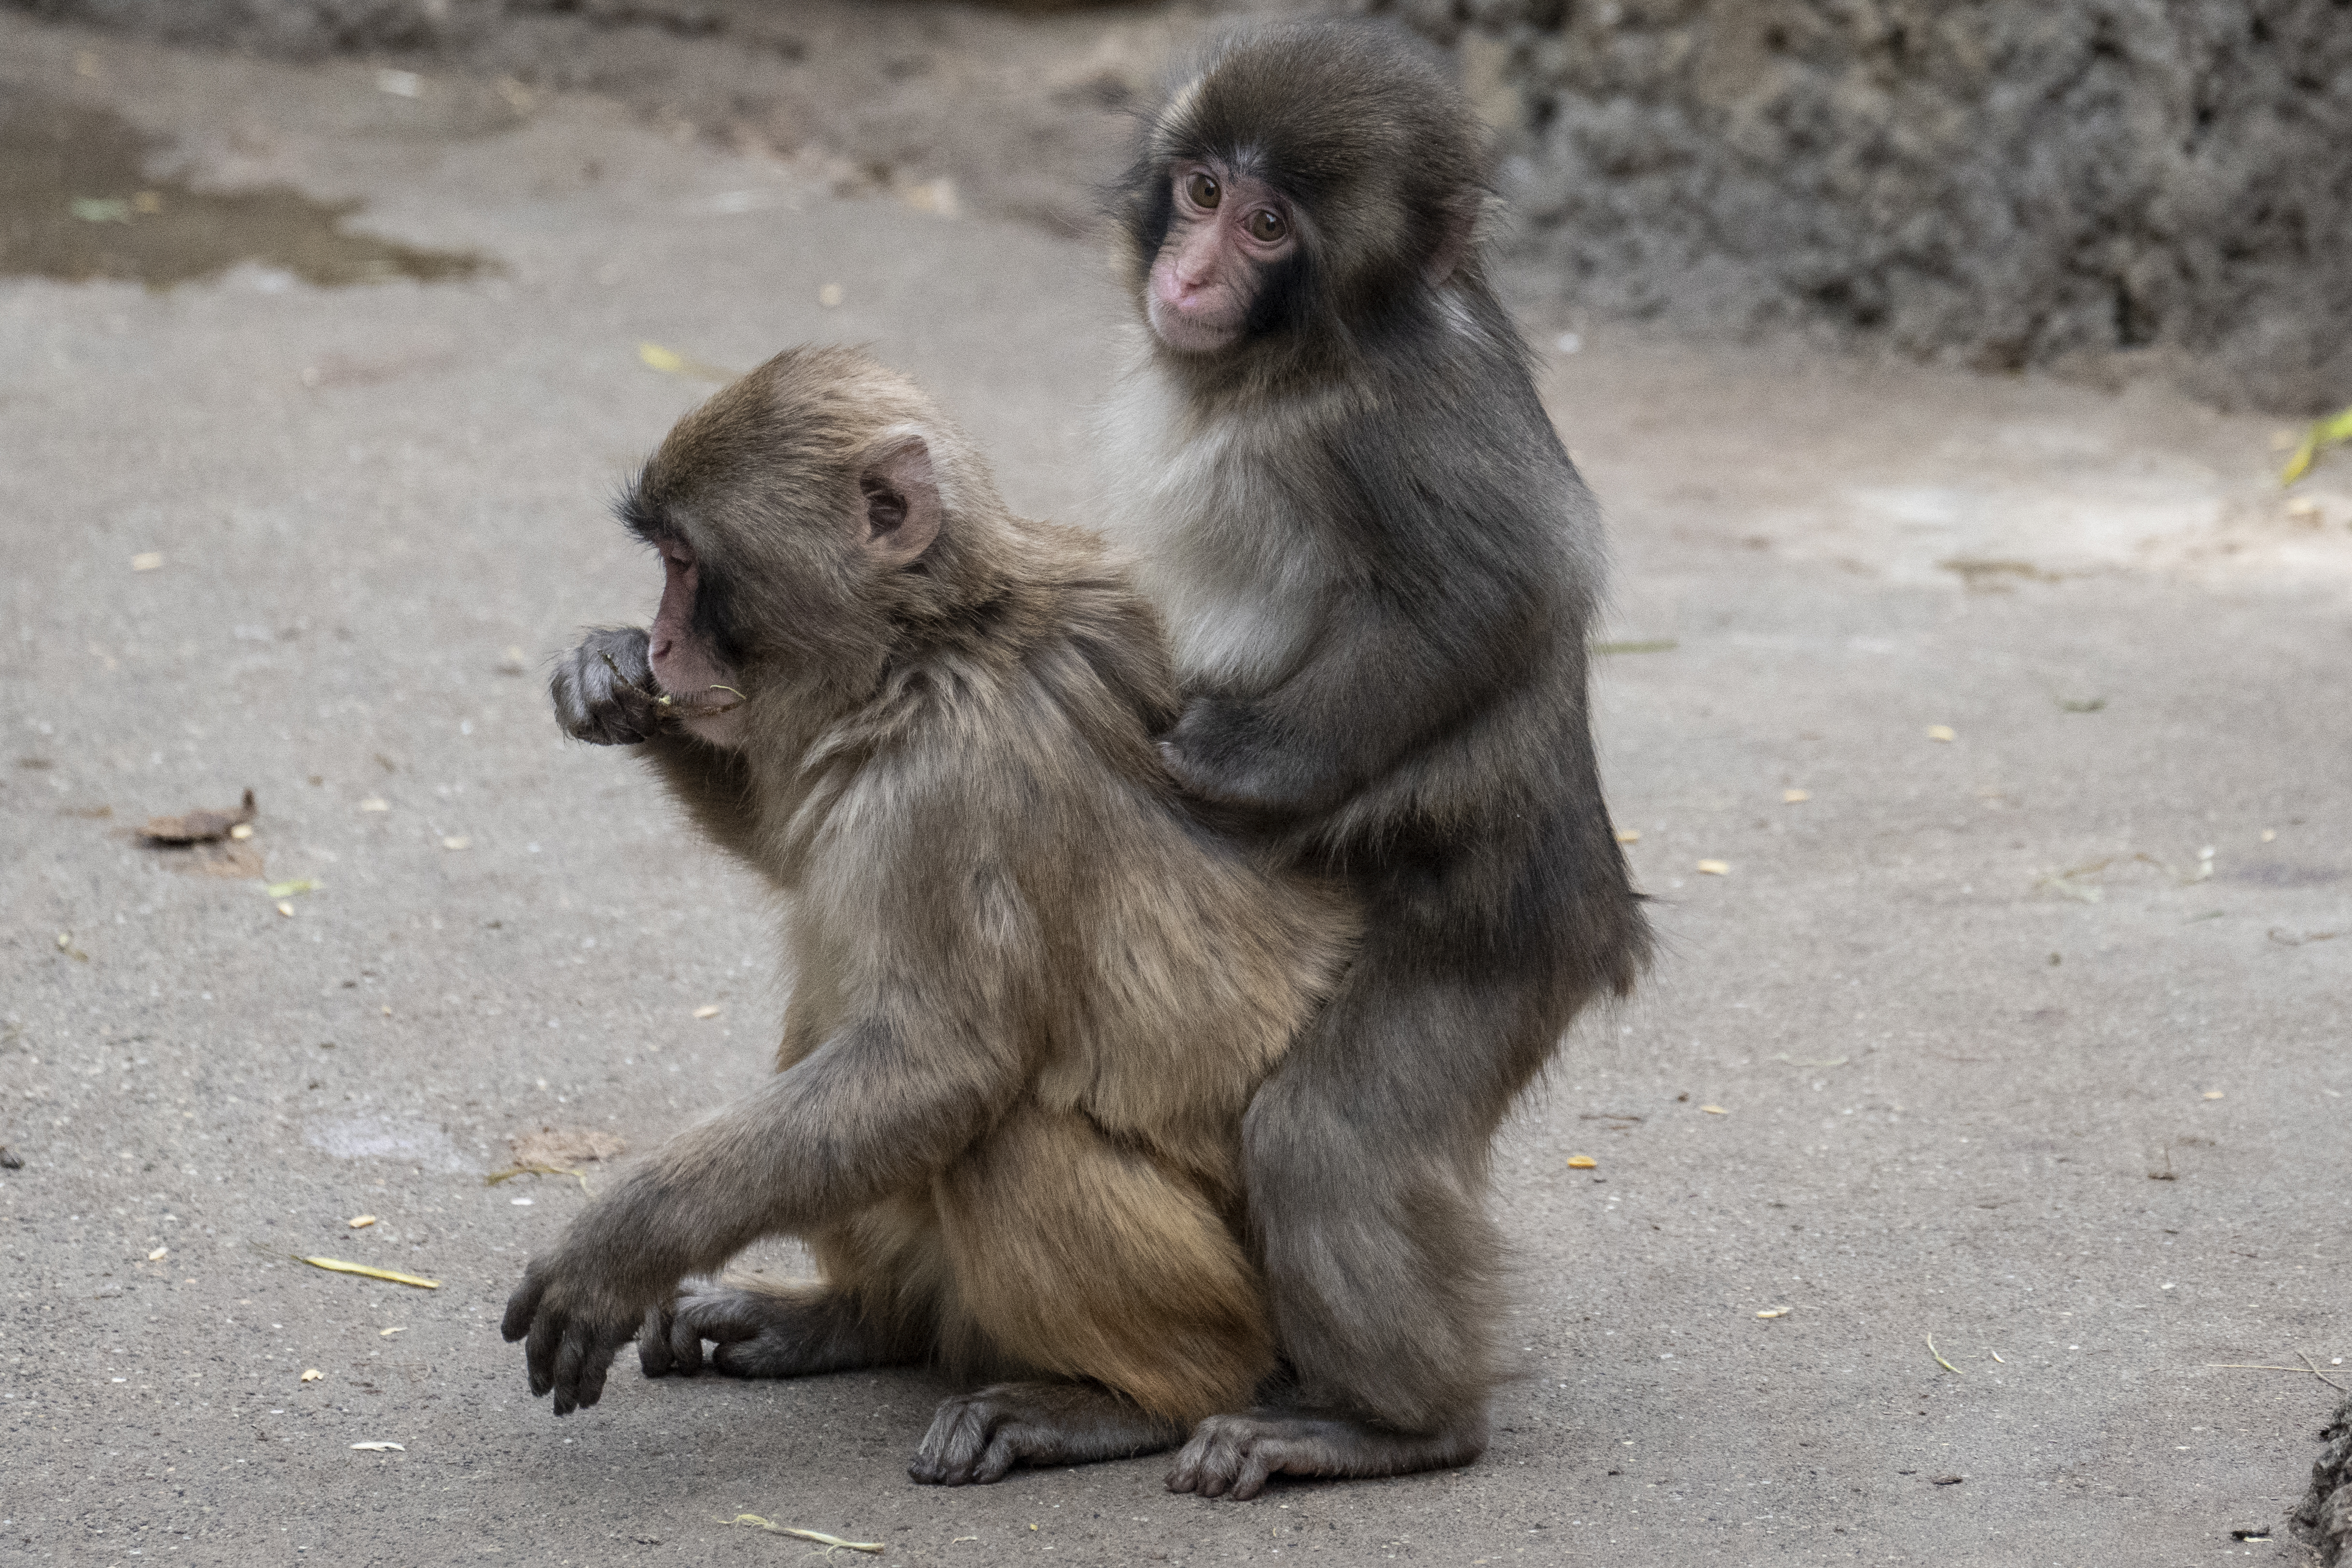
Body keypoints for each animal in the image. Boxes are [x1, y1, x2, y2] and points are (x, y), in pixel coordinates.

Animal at [499, 345, 1357, 1487]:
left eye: (686, 561)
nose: (669, 639)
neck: (928, 645)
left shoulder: (953, 778)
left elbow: (940, 1063)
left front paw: (619, 1244)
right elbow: (784, 840)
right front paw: (604, 669)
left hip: (1227, 1297)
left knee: (998, 1133)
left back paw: (1133, 1399)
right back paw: (861, 1319)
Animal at [1095, 23, 1653, 1499]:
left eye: (1269, 225)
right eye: (1202, 192)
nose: (1190, 272)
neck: (1297, 361)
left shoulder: (1391, 422)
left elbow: (1504, 587)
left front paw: (1235, 762)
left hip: (1494, 954)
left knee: (1327, 1139)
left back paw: (1394, 1428)